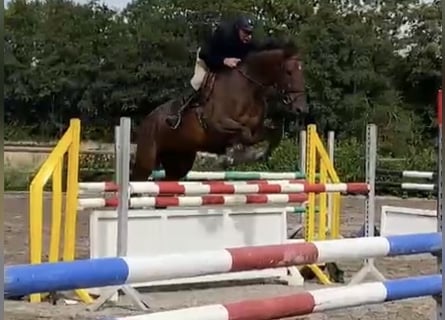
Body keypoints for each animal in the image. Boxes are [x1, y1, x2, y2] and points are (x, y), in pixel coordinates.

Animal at [130, 39, 306, 182]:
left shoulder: (258, 128)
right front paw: (237, 156)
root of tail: (147, 119)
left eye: (301, 71)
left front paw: (263, 155)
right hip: (147, 159)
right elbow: (244, 134)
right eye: (289, 72)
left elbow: (272, 134)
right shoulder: (218, 124)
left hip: (179, 159)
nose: (301, 108)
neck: (248, 88)